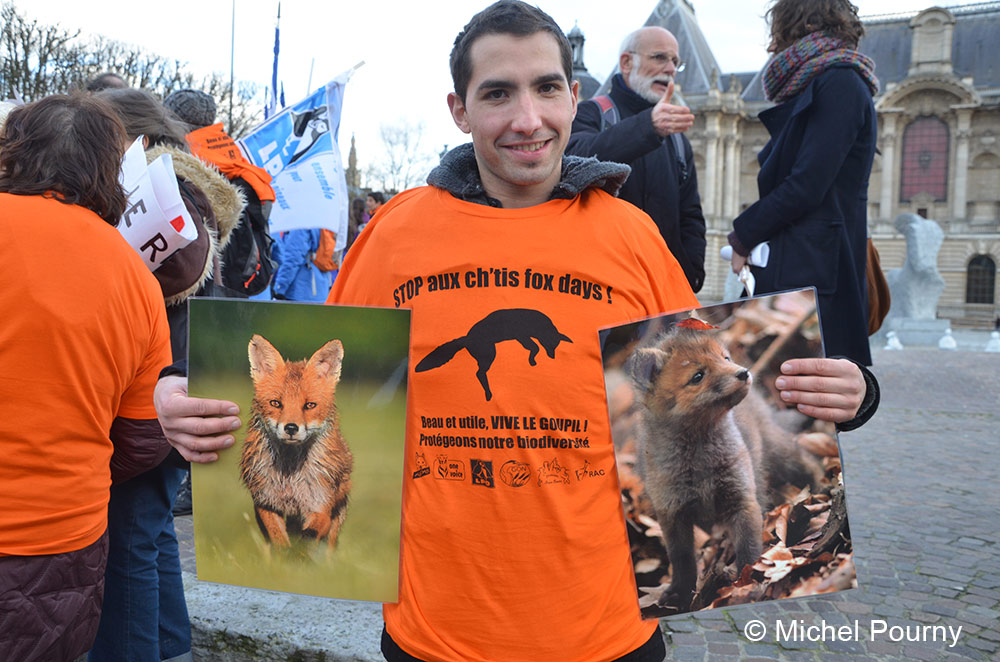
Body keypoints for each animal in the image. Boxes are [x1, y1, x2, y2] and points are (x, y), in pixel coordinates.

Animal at [239, 334, 353, 548]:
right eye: (276, 403)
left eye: (309, 405)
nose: (291, 428)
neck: (289, 476)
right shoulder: (265, 503)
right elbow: (280, 540)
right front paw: (285, 554)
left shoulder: (320, 507)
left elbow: (308, 537)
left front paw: (299, 554)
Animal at [415, 308, 572, 401]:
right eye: (551, 345)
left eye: (556, 347)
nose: (552, 356)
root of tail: (467, 338)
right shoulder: (521, 335)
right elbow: (535, 348)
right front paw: (532, 359)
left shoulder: (522, 337)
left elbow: (534, 347)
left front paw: (532, 359)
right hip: (489, 354)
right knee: (479, 373)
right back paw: (488, 393)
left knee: (479, 373)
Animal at [625, 325, 823, 610]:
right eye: (698, 376)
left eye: (725, 358)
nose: (744, 372)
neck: (700, 466)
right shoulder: (672, 515)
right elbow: (681, 560)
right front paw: (679, 593)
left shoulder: (743, 499)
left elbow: (748, 550)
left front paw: (746, 581)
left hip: (779, 454)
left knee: (808, 459)